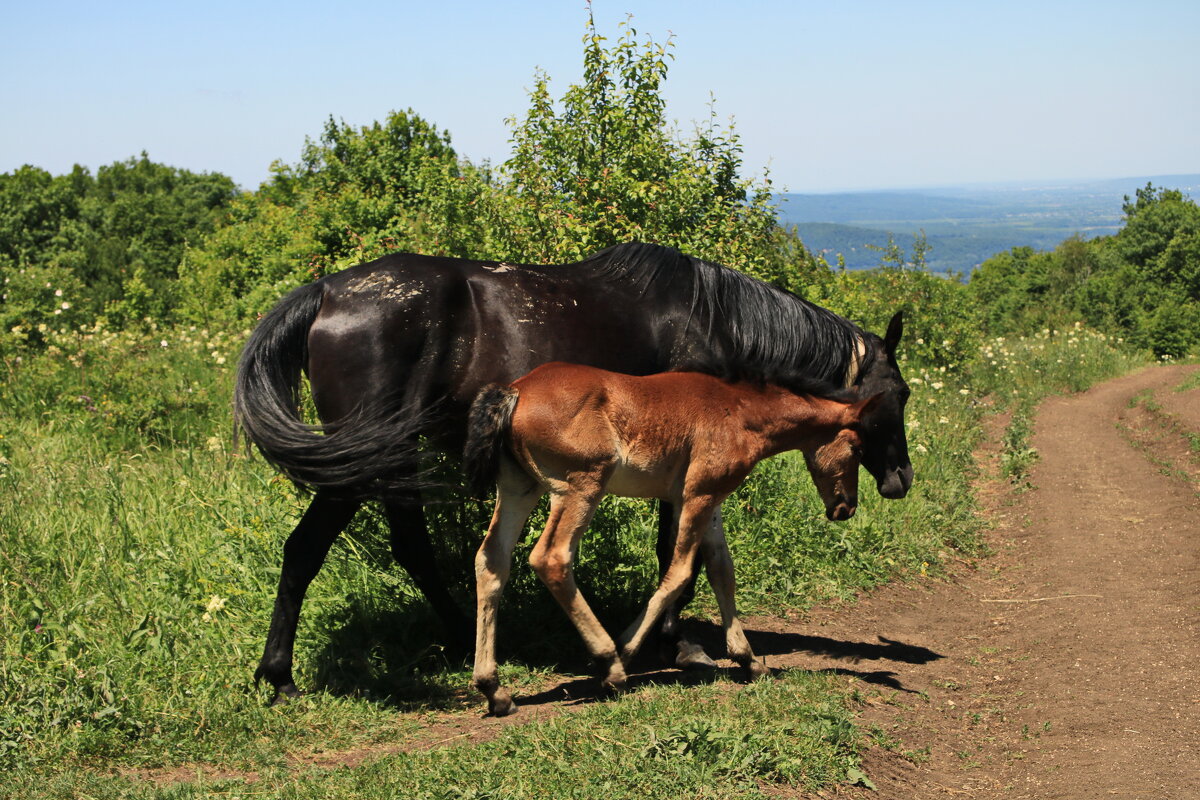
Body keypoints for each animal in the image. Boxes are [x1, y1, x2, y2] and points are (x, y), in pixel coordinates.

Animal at [463, 367, 878, 714]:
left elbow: (722, 572)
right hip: (581, 486)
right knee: (551, 558)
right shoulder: (697, 496)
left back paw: (494, 690)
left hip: (519, 487)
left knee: (491, 560)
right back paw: (609, 663)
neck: (740, 411)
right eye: (857, 448)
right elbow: (679, 574)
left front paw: (748, 660)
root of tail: (516, 390)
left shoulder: (707, 501)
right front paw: (626, 649)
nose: (846, 507)